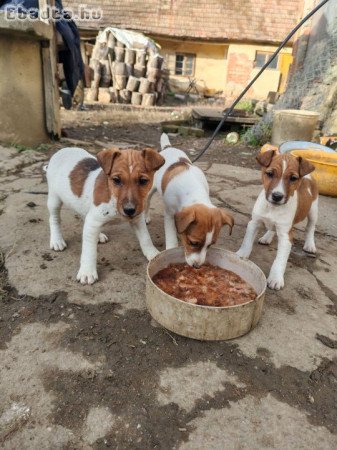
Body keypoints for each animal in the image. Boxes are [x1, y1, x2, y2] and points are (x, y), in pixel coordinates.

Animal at [45, 146, 164, 284]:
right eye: (116, 180)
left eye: (143, 181)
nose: (129, 210)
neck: (113, 197)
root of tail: (62, 150)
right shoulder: (93, 221)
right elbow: (89, 250)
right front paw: (87, 271)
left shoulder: (137, 219)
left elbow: (146, 238)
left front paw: (153, 254)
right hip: (54, 199)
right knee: (54, 219)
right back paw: (57, 240)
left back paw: (99, 236)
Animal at [144, 134, 234, 268]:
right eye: (193, 243)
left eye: (210, 245)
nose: (197, 267)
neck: (193, 188)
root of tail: (168, 147)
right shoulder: (169, 213)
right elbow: (171, 237)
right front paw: (170, 249)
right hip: (150, 189)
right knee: (147, 202)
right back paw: (146, 217)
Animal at [236, 149, 318, 290]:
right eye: (270, 174)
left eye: (293, 178)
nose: (277, 196)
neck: (273, 208)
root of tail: (308, 176)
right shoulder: (254, 223)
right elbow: (246, 242)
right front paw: (241, 255)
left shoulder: (286, 236)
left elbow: (280, 260)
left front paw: (276, 278)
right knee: (272, 228)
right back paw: (267, 237)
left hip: (313, 210)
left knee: (310, 228)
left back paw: (310, 245)